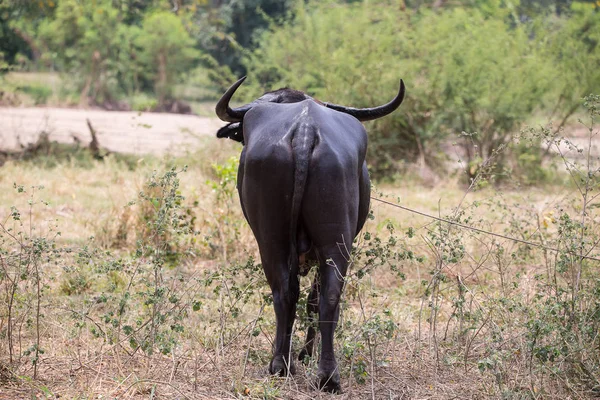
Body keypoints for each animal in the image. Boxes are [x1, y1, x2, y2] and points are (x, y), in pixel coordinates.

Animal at [213, 76, 406, 392]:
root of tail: (305, 129)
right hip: (332, 241)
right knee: (321, 297)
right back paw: (322, 374)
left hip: (275, 239)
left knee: (289, 293)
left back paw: (285, 365)